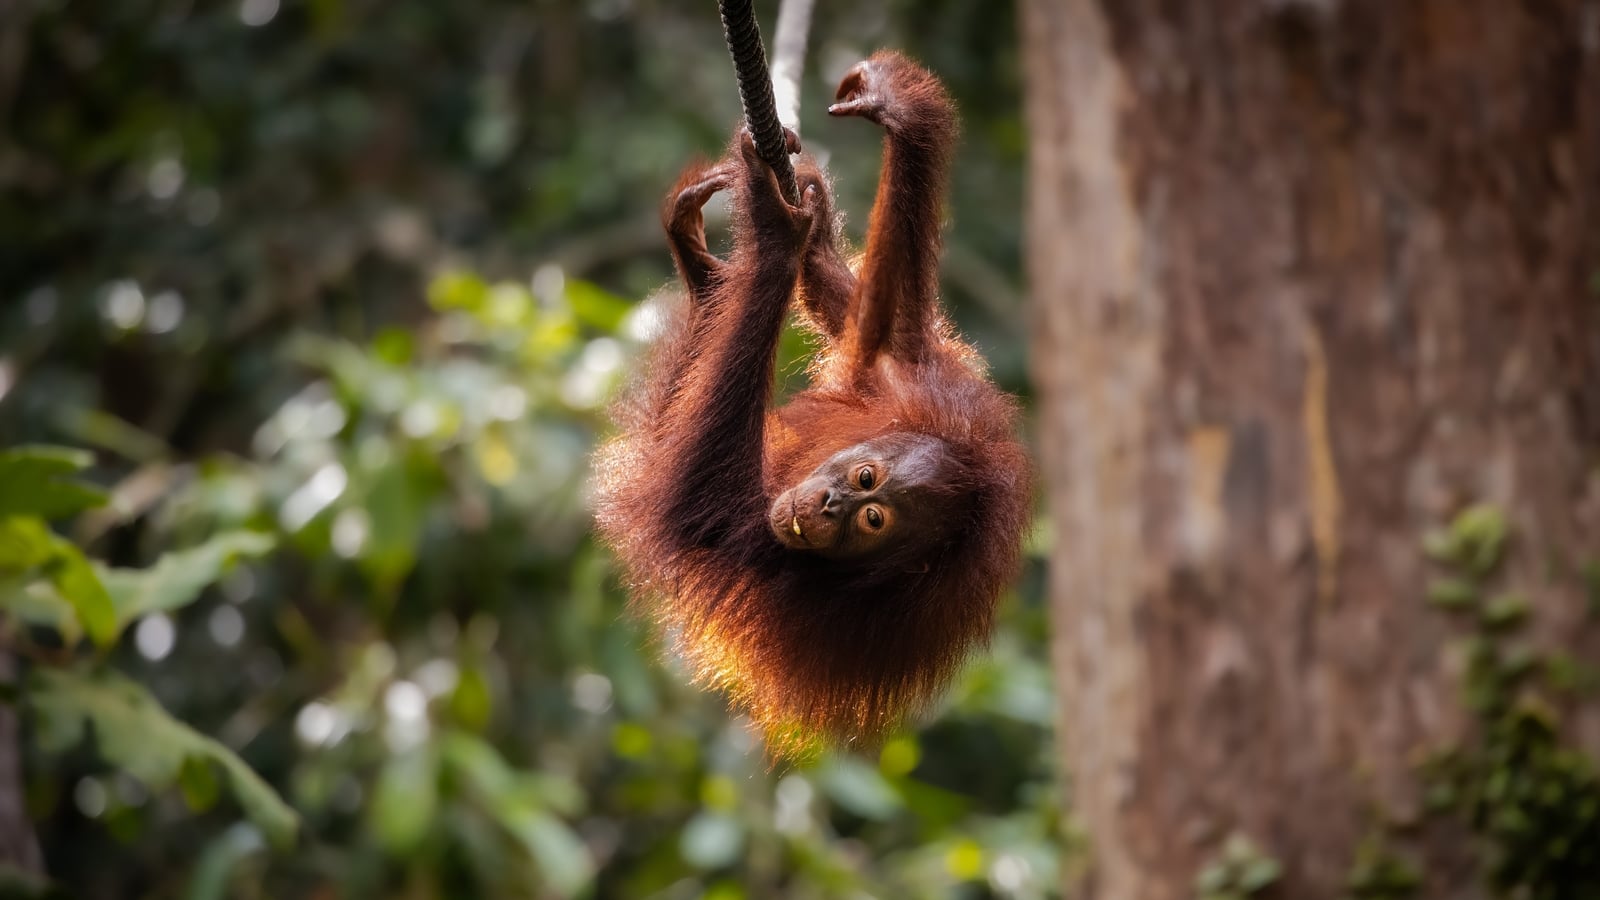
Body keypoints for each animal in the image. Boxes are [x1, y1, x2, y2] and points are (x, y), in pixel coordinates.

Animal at [595, 51, 1030, 751]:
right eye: (865, 476)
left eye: (873, 518)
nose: (831, 503)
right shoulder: (927, 397)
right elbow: (886, 323)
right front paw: (901, 116)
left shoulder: (799, 568)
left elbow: (701, 512)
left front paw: (777, 234)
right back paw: (708, 278)